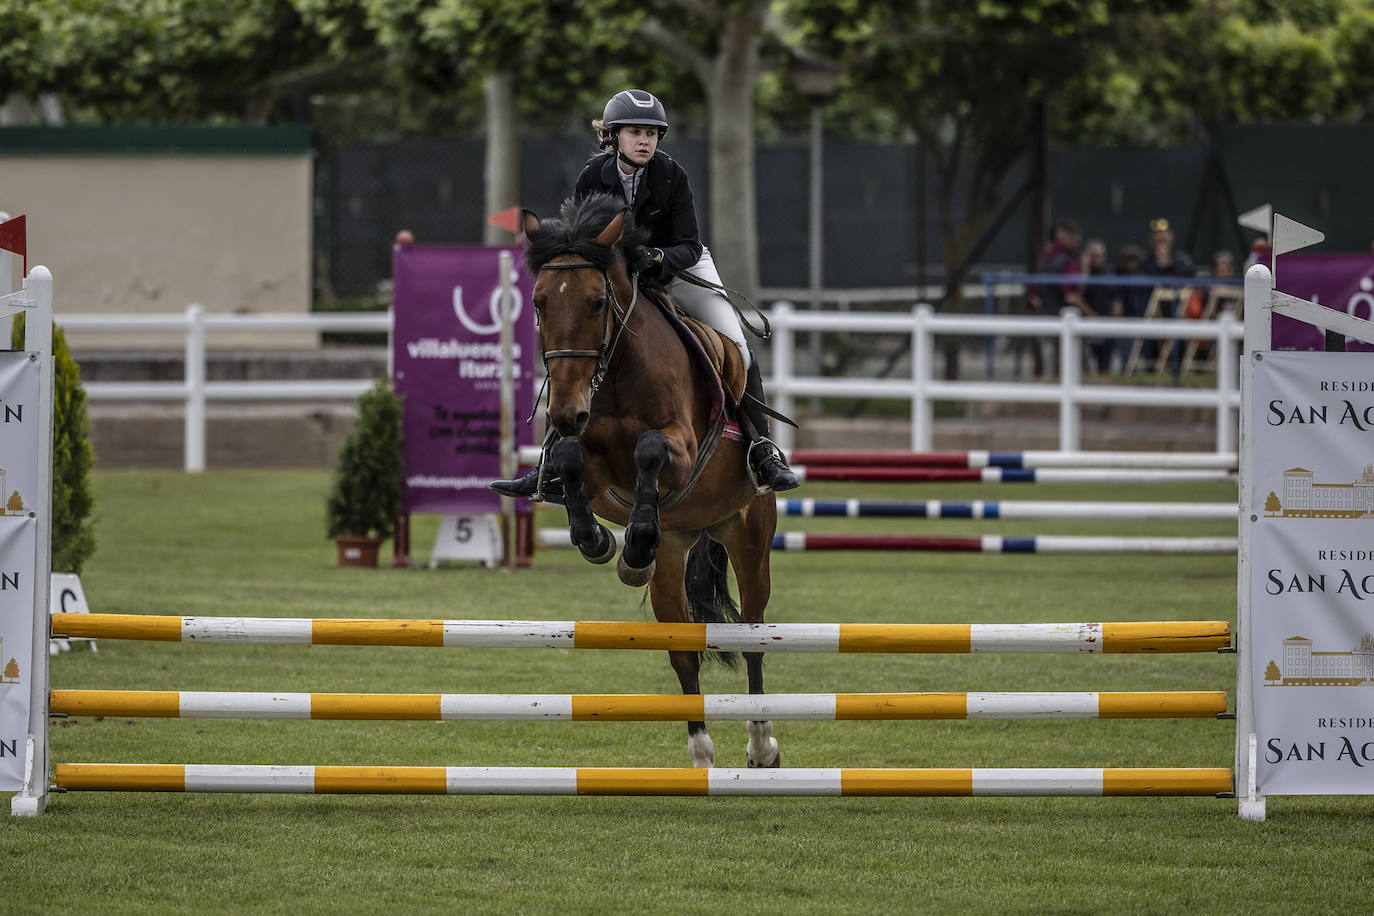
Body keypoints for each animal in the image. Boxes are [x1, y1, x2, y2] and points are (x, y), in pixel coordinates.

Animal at [519, 195, 780, 774]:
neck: (614, 374)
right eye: (540, 304)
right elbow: (570, 459)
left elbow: (650, 450)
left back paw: (761, 744)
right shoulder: (594, 467)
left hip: (750, 538)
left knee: (754, 634)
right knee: (683, 651)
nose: (565, 412)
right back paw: (701, 751)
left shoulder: (681, 449)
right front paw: (600, 542)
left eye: (597, 303)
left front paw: (632, 546)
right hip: (675, 558)